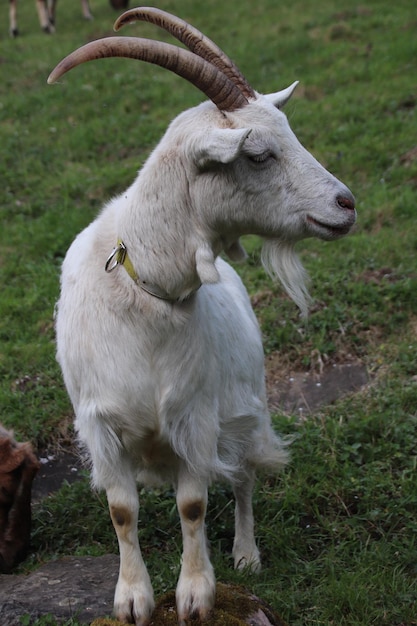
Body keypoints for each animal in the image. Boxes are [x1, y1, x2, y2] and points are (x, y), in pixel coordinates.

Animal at [48, 7, 354, 620]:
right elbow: (122, 512)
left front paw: (195, 594)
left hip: (243, 410)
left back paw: (245, 553)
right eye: (257, 154)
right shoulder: (101, 427)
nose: (346, 204)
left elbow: (193, 504)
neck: (144, 294)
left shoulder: (195, 416)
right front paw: (133, 598)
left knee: (242, 479)